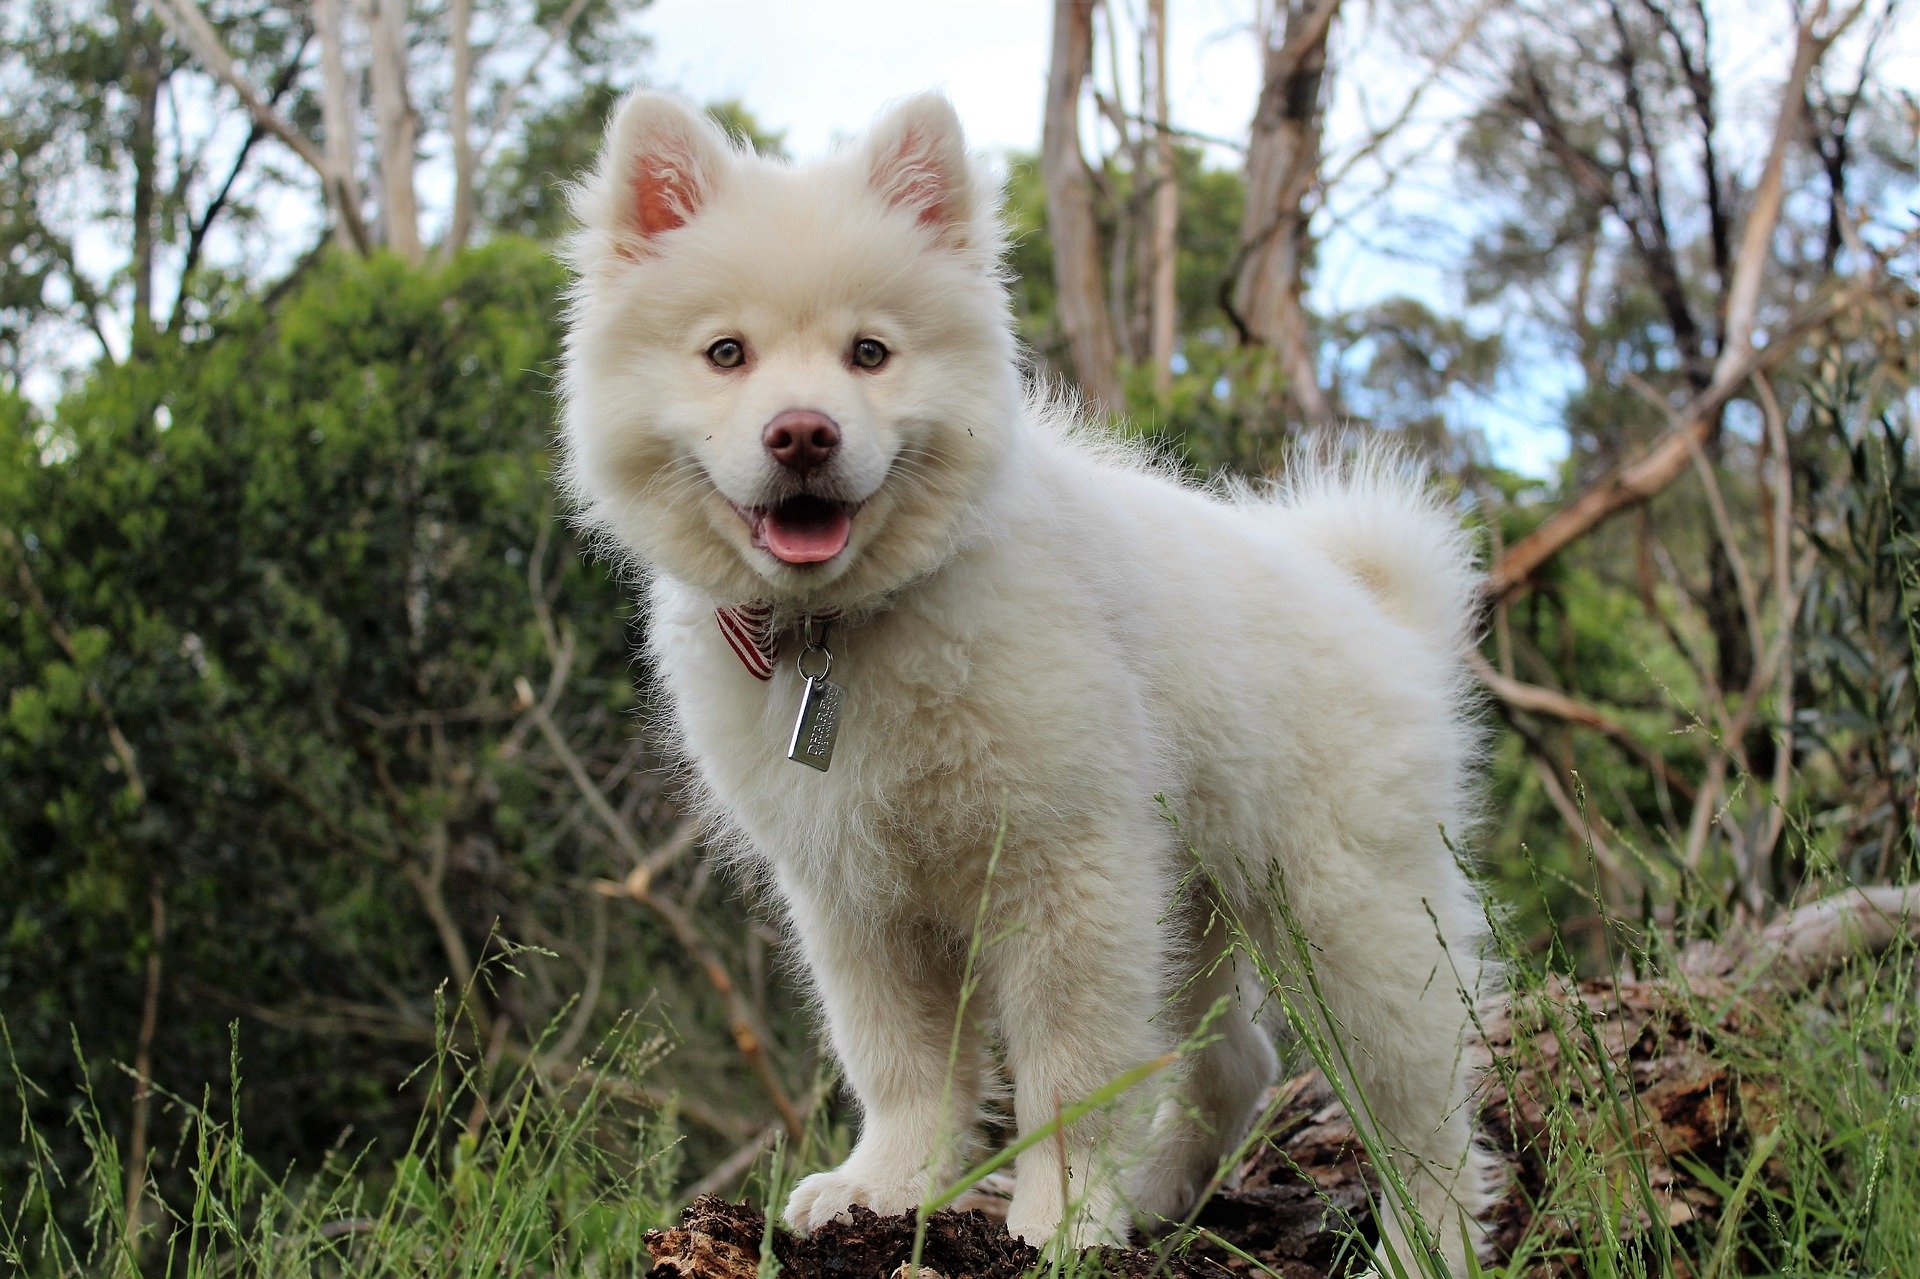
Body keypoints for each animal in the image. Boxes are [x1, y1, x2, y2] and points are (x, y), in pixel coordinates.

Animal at [560, 87, 1489, 1267]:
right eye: (726, 353)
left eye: (871, 352)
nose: (802, 433)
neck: (848, 632)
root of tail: (1384, 615)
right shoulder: (858, 896)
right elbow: (903, 1064)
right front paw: (885, 1187)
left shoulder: (1067, 869)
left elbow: (1067, 1073)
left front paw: (1063, 1216)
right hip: (1191, 900)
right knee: (1237, 1063)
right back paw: (1160, 1194)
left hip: (1351, 917)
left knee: (1427, 1117)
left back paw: (1427, 1249)